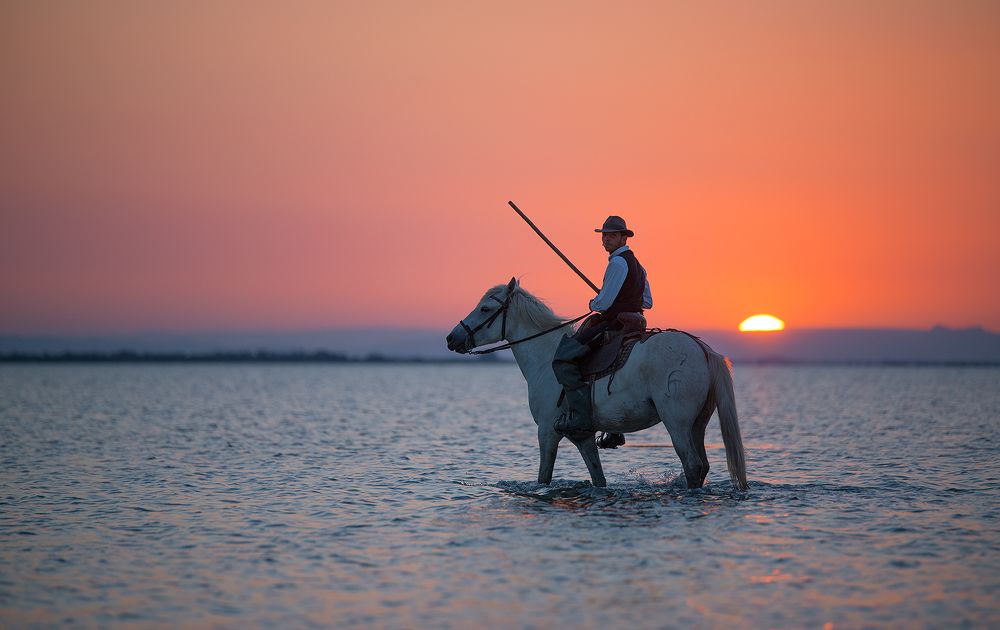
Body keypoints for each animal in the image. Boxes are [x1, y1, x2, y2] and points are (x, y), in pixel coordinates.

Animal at [446, 277, 749, 491]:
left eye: (485, 308)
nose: (452, 338)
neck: (545, 356)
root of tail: (702, 349)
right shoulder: (583, 436)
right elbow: (598, 478)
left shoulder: (546, 432)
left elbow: (544, 478)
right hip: (698, 423)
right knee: (703, 466)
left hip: (678, 423)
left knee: (693, 465)